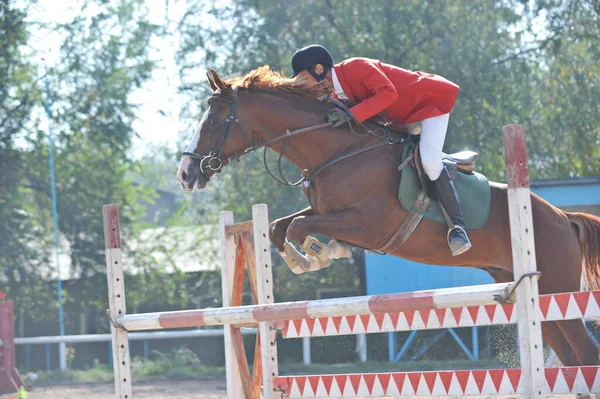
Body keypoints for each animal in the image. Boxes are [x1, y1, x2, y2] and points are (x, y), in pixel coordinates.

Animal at [176, 66, 600, 368]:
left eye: (213, 121)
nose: (185, 174)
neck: (336, 149)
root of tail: (564, 217)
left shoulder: (368, 226)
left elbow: (298, 226)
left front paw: (319, 254)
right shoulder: (328, 211)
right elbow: (282, 227)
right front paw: (308, 257)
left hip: (555, 290)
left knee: (584, 355)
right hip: (533, 295)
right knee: (571, 357)